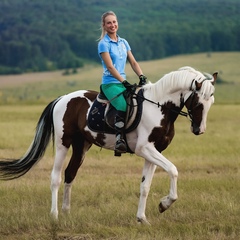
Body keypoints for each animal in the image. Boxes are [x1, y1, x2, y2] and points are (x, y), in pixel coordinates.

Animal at [0, 66, 218, 225]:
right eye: (198, 102)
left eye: (212, 102)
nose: (199, 130)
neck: (158, 106)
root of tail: (63, 98)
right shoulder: (145, 149)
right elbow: (173, 170)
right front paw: (164, 204)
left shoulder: (154, 151)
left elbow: (145, 186)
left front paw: (142, 219)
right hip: (64, 143)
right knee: (55, 177)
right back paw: (54, 215)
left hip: (82, 145)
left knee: (70, 174)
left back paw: (66, 212)